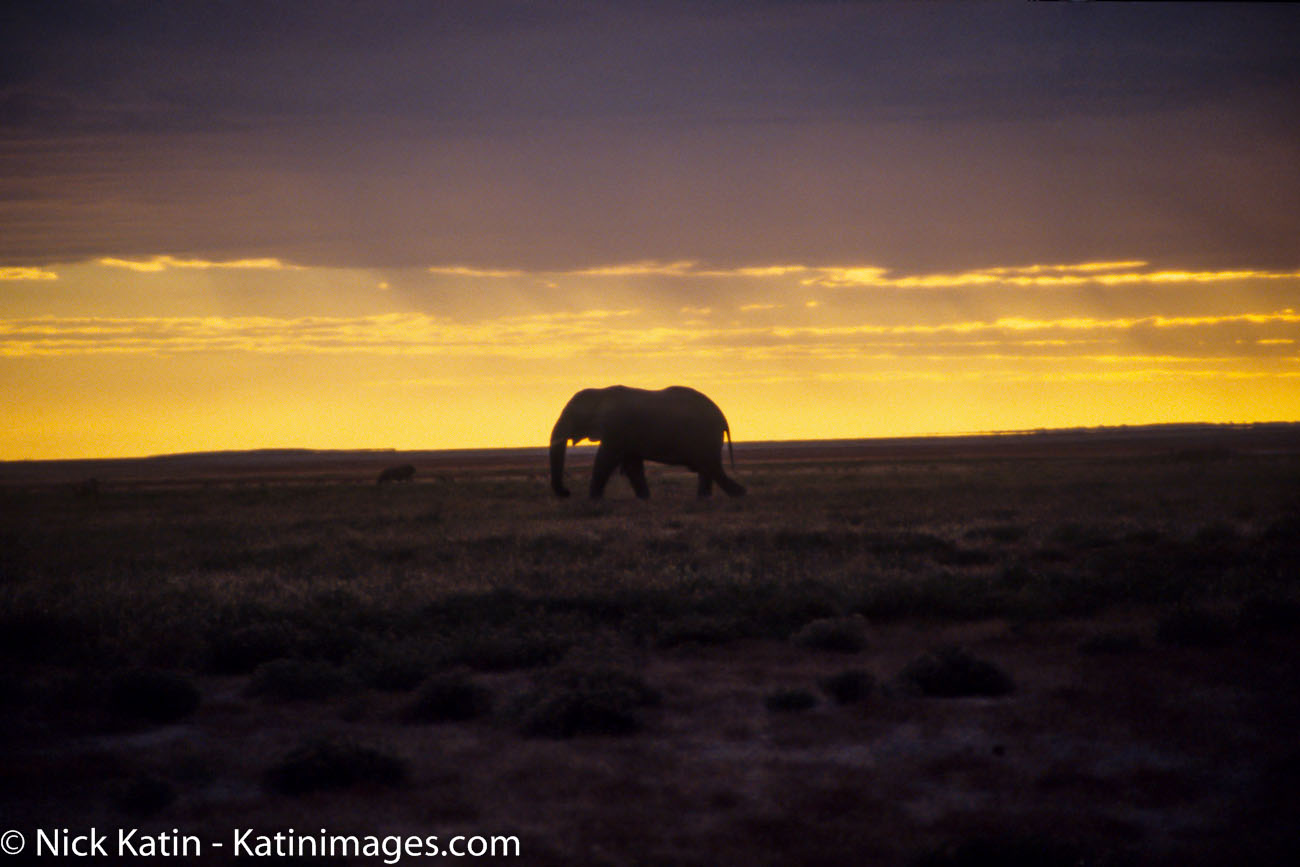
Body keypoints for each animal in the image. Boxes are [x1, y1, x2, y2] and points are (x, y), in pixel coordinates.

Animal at [549, 385, 746, 499]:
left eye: (572, 416)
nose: (567, 493)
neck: (600, 393)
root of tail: (722, 418)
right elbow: (632, 465)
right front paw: (644, 499)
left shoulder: (616, 427)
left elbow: (606, 459)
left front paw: (594, 500)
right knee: (708, 468)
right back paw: (707, 499)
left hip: (705, 435)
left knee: (710, 466)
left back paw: (739, 494)